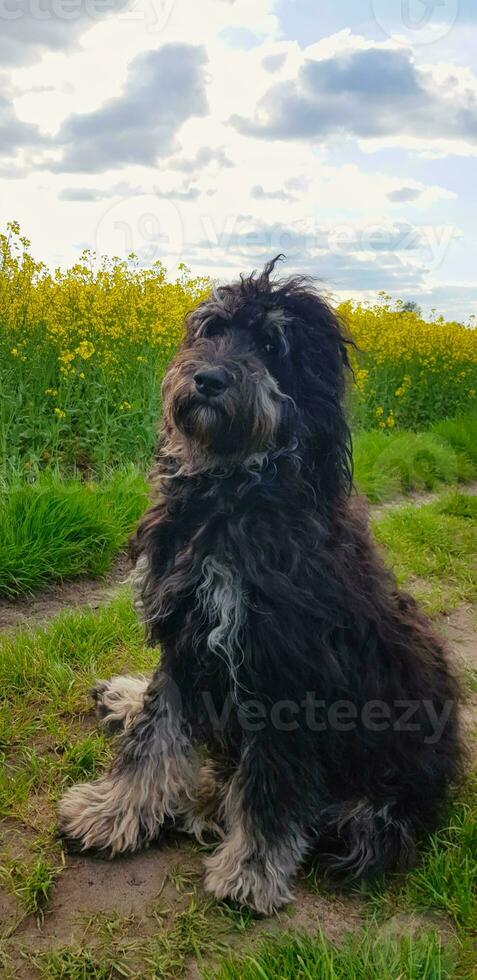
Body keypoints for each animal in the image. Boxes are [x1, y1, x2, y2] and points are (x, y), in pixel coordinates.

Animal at [55, 256, 462, 916]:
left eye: (272, 346)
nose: (208, 380)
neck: (231, 492)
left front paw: (250, 870)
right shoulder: (187, 629)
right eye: (213, 329)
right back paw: (127, 701)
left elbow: (272, 783)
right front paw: (111, 812)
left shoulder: (280, 668)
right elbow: (154, 736)